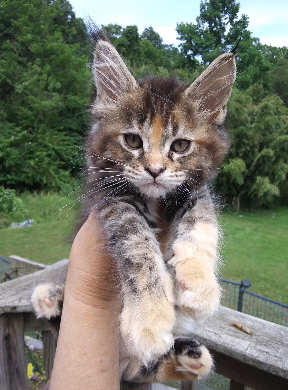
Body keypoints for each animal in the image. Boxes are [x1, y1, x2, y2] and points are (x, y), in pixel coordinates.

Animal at [31, 29, 236, 388]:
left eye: (180, 145)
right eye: (133, 141)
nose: (154, 170)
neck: (154, 197)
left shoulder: (192, 187)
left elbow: (201, 220)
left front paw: (198, 283)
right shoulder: (111, 198)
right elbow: (137, 247)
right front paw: (149, 319)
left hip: (142, 368)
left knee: (147, 370)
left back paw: (190, 357)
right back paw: (51, 297)